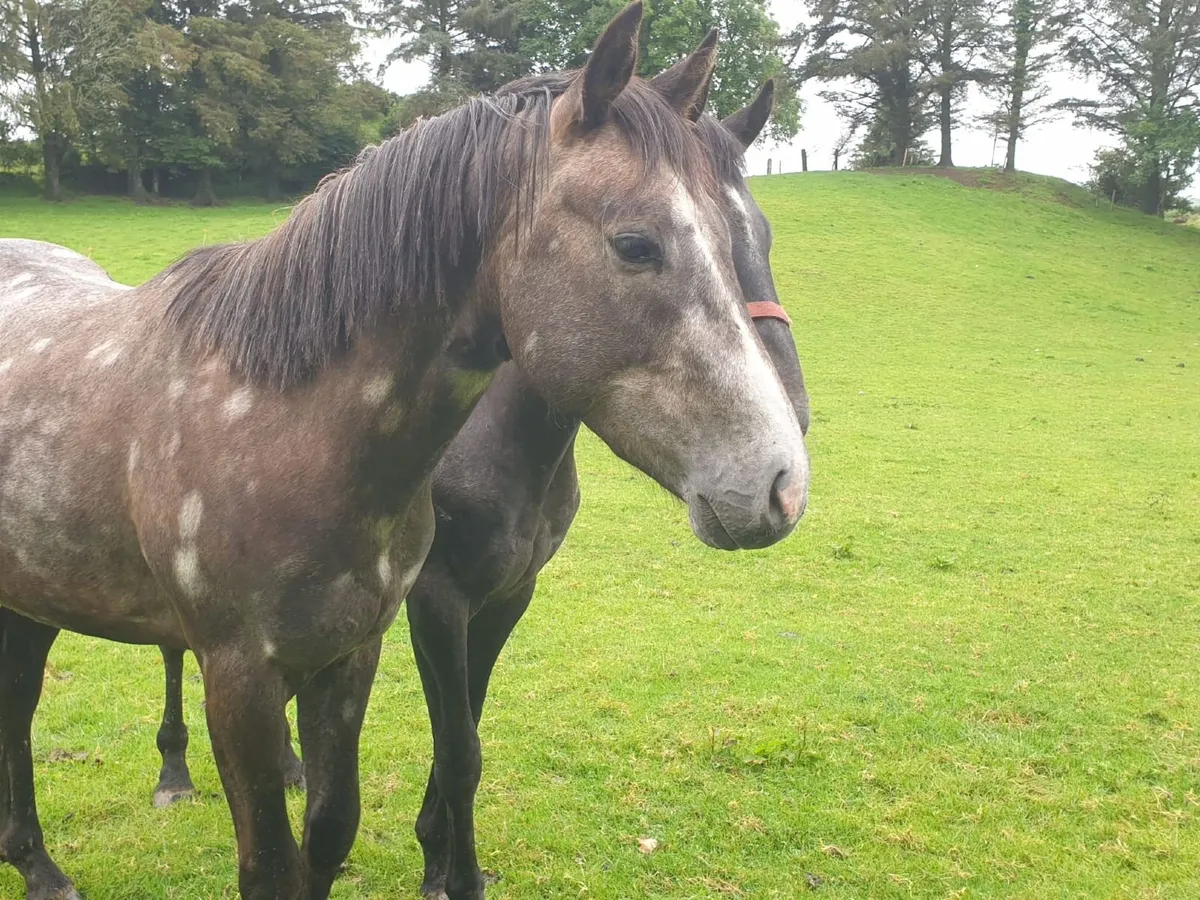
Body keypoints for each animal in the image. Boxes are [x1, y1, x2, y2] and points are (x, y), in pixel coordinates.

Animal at [0, 4, 807, 898]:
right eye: (636, 244)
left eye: (748, 234)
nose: (780, 481)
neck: (288, 427)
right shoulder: (255, 673)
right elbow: (303, 844)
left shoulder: (361, 649)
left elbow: (335, 826)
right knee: (20, 713)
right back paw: (48, 857)